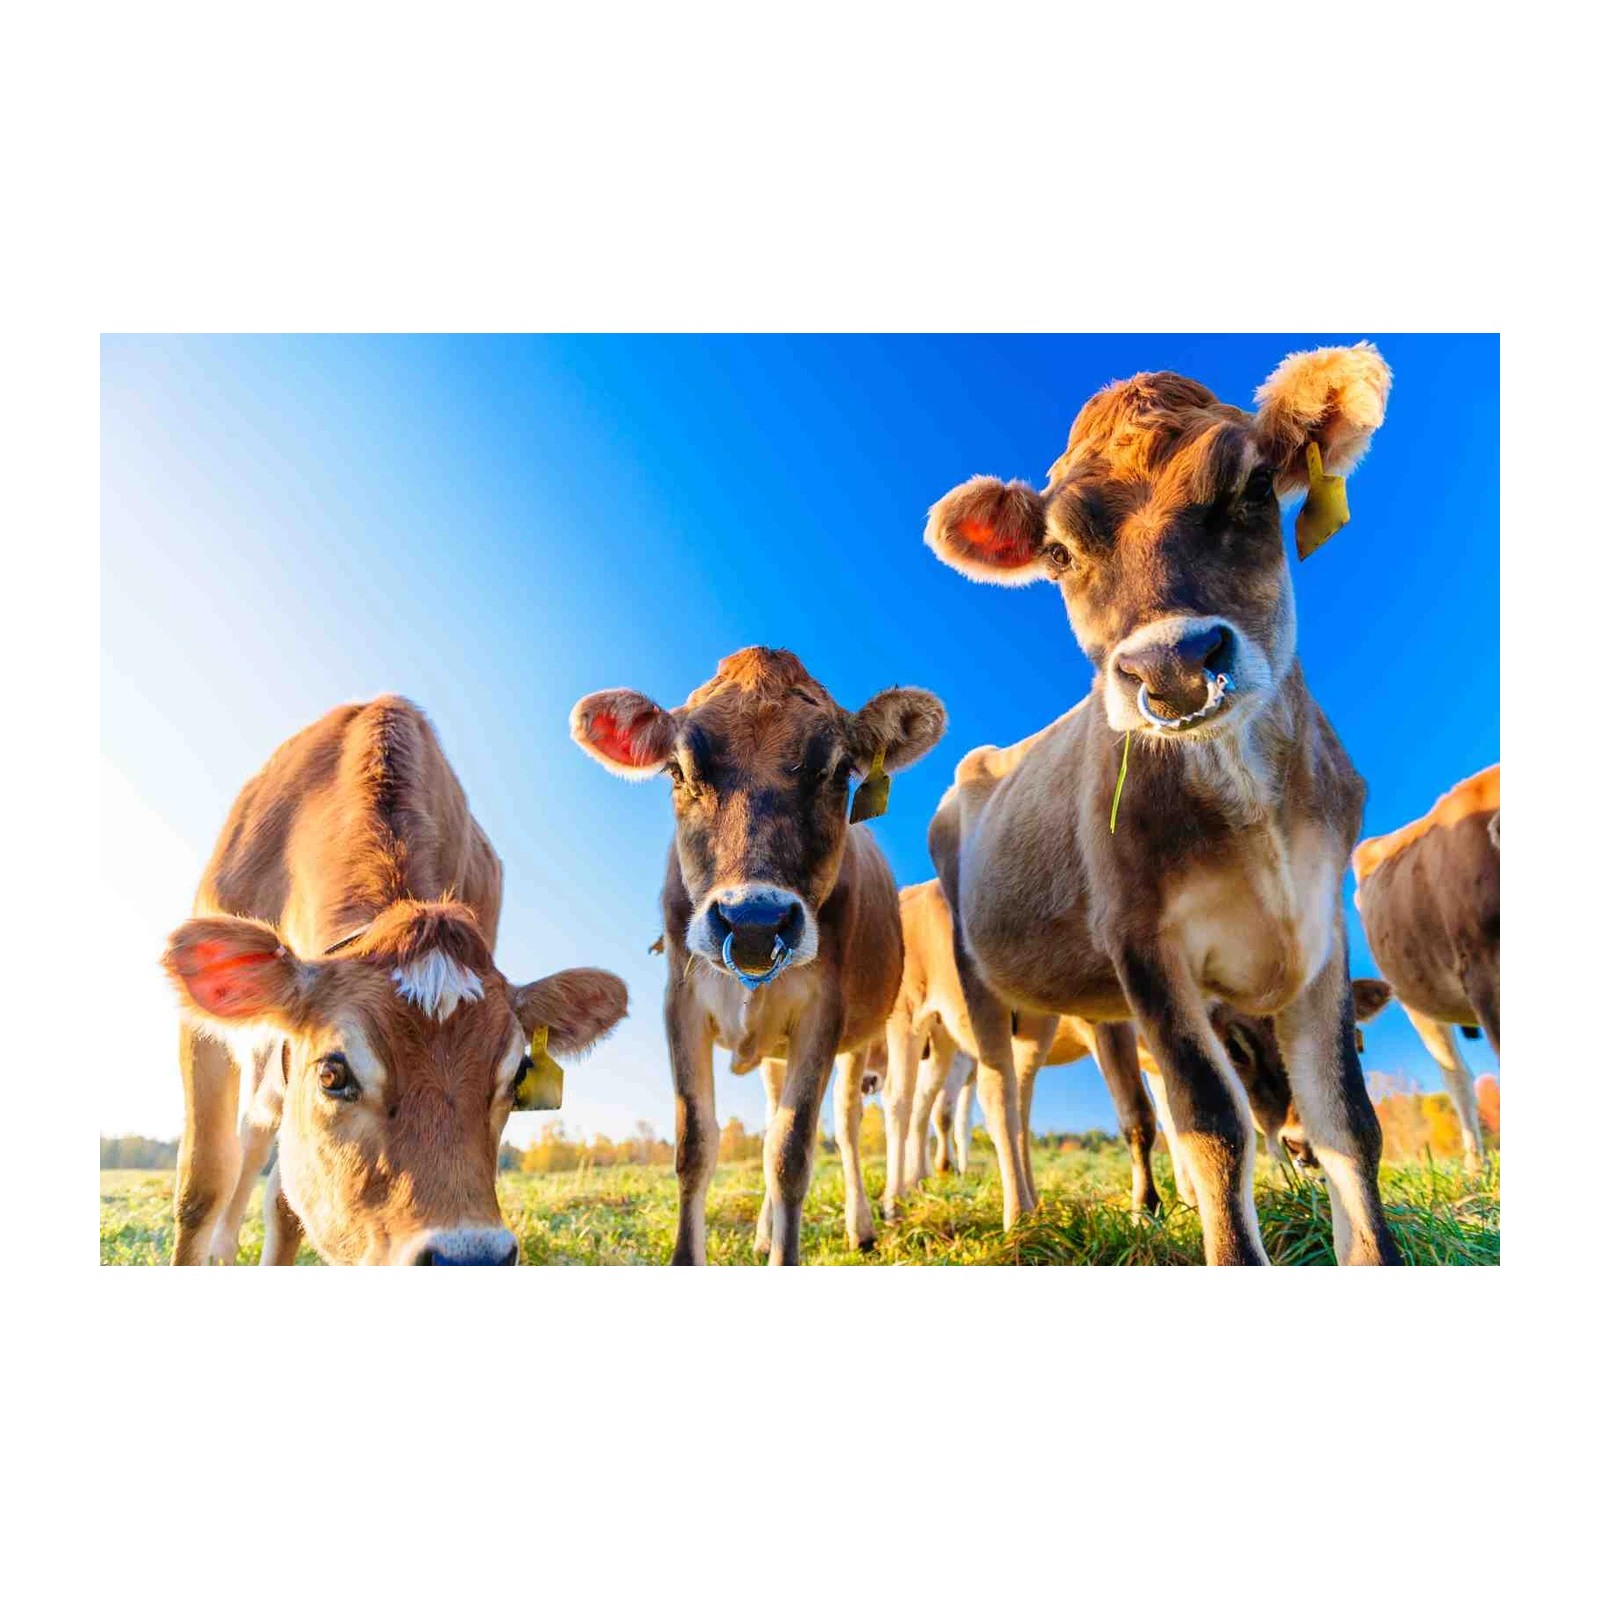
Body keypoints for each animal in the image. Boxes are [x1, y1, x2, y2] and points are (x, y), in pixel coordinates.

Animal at [161, 696, 629, 1270]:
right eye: (332, 1074)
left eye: (519, 1075)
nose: (469, 1259)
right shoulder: (202, 1031)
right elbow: (202, 1185)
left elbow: (288, 1205)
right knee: (249, 1138)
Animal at [571, 646, 945, 1269]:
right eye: (678, 770)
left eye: (839, 772)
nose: (753, 922)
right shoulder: (681, 1003)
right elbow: (696, 1144)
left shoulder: (824, 1012)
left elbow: (791, 1152)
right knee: (771, 1117)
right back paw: (765, 1232)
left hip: (866, 1033)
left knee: (846, 1124)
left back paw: (862, 1225)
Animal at [922, 343, 1404, 1268]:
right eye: (1059, 554)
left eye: (1255, 485)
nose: (1173, 663)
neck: (1252, 809)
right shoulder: (1141, 942)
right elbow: (1210, 1124)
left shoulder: (1323, 924)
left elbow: (1347, 1123)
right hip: (976, 979)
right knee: (998, 1099)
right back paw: (1021, 1220)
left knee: (1035, 1093)